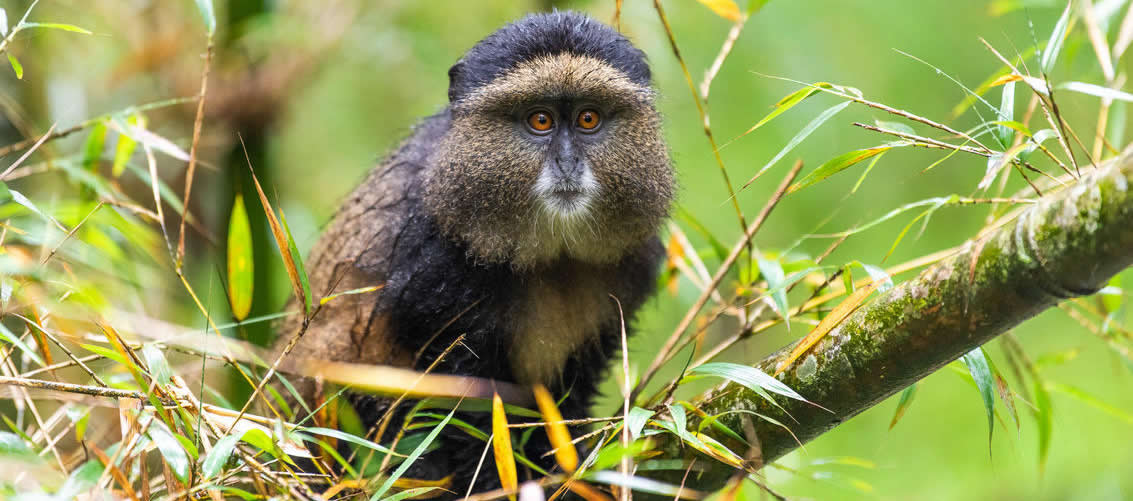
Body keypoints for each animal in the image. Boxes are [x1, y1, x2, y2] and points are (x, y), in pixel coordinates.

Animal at [275, 10, 674, 496]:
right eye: (540, 120)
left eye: (588, 118)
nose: (567, 163)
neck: (551, 253)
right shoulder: (434, 269)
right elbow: (467, 408)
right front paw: (492, 484)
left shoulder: (630, 266)